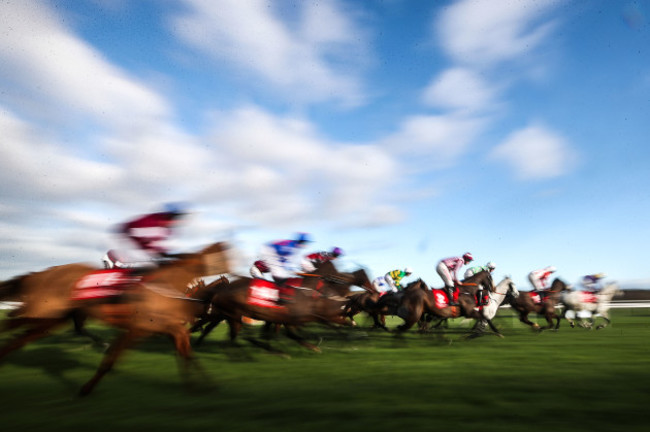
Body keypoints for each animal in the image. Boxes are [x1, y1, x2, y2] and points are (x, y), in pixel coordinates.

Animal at [0, 241, 232, 396]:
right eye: (225, 283)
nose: (228, 302)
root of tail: (41, 274)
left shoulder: (168, 326)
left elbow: (185, 351)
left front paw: (201, 384)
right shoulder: (141, 327)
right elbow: (110, 360)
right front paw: (86, 388)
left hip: (54, 317)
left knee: (19, 336)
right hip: (44, 311)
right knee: (13, 326)